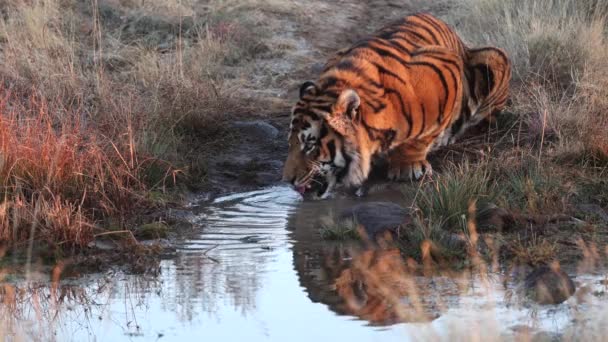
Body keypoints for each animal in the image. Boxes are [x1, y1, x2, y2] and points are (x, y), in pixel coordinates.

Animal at [282, 13, 510, 199]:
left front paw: (407, 165)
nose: (287, 181)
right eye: (290, 143)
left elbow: (423, 136)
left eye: (310, 145)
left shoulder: (445, 65)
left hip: (494, 56)